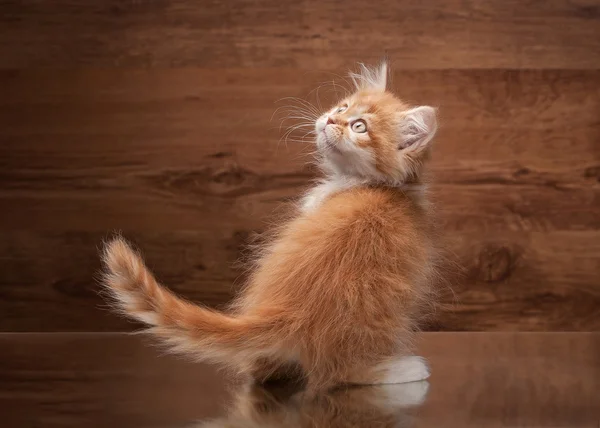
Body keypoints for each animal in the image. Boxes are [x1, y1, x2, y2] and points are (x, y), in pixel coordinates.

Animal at [101, 61, 440, 392]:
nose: (330, 119)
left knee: (337, 371)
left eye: (360, 126)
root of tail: (290, 311)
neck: (375, 184)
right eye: (343, 107)